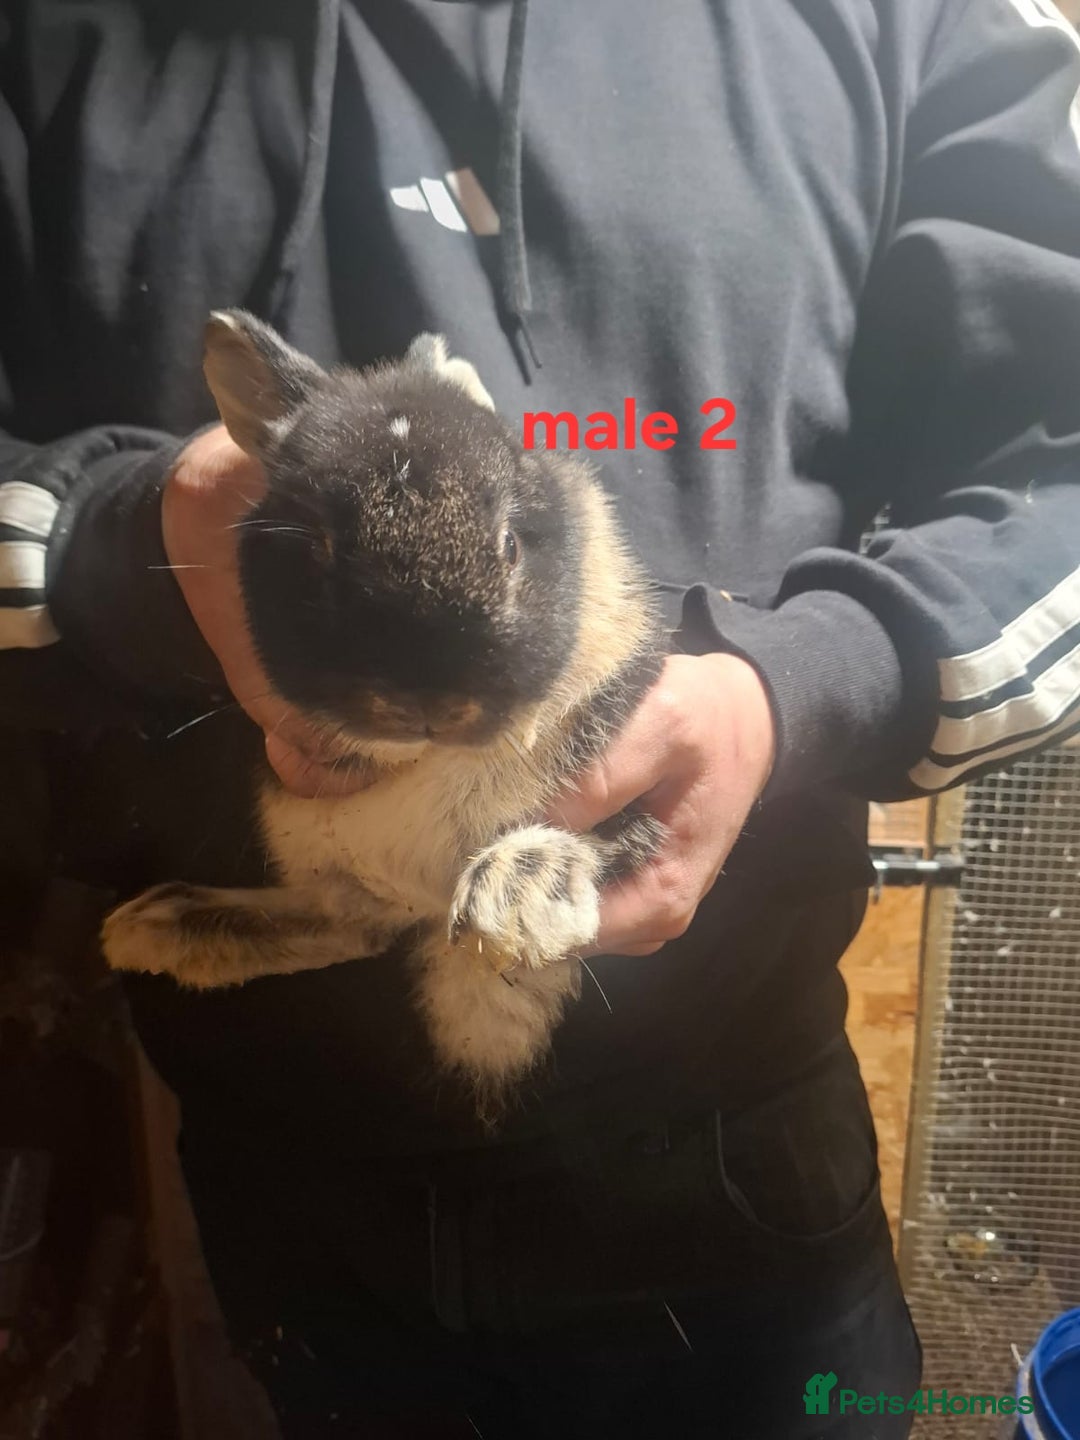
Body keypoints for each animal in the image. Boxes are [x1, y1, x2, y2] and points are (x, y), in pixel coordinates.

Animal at [102, 310, 666, 1112]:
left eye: (510, 543)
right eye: (316, 549)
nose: (428, 702)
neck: (430, 761)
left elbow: (606, 838)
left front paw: (513, 906)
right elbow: (335, 925)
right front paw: (146, 928)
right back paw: (157, 925)